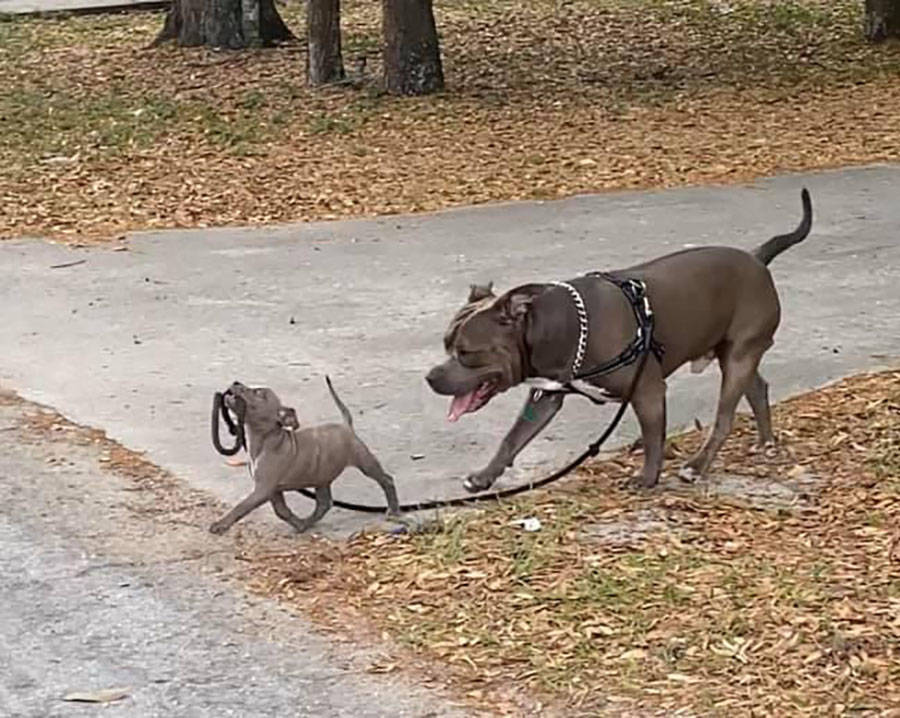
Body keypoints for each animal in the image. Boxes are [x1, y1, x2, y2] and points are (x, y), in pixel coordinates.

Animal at [209, 380, 400, 536]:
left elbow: (241, 507)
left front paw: (221, 525)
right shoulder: (272, 490)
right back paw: (308, 522)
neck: (263, 440)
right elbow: (281, 511)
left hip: (364, 461)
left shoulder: (263, 489)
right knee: (324, 503)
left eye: (258, 392)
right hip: (321, 477)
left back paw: (394, 510)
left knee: (386, 480)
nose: (236, 382)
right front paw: (299, 524)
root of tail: (346, 426)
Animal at [426, 188, 812, 492]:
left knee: (724, 418)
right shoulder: (545, 396)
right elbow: (513, 438)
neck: (560, 327)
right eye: (445, 345)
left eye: (466, 352)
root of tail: (757, 258)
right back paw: (766, 443)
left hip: (738, 357)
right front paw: (485, 476)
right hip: (732, 354)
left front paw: (648, 478)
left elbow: (655, 436)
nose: (430, 377)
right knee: (758, 389)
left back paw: (696, 466)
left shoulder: (648, 390)